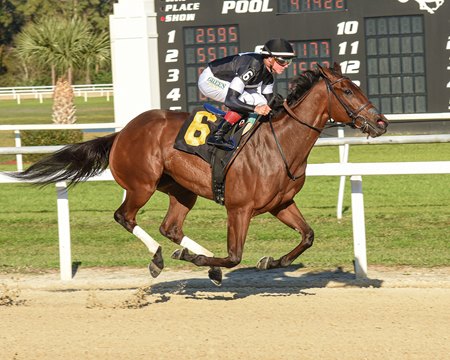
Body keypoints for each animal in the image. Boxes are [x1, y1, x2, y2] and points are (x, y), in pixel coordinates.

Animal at [8, 63, 386, 286]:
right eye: (347, 90)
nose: (381, 122)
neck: (281, 144)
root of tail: (122, 132)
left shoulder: (281, 204)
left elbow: (307, 236)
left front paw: (270, 261)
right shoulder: (239, 208)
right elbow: (234, 255)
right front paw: (206, 260)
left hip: (181, 189)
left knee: (170, 227)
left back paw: (192, 258)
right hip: (142, 184)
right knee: (125, 217)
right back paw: (161, 257)